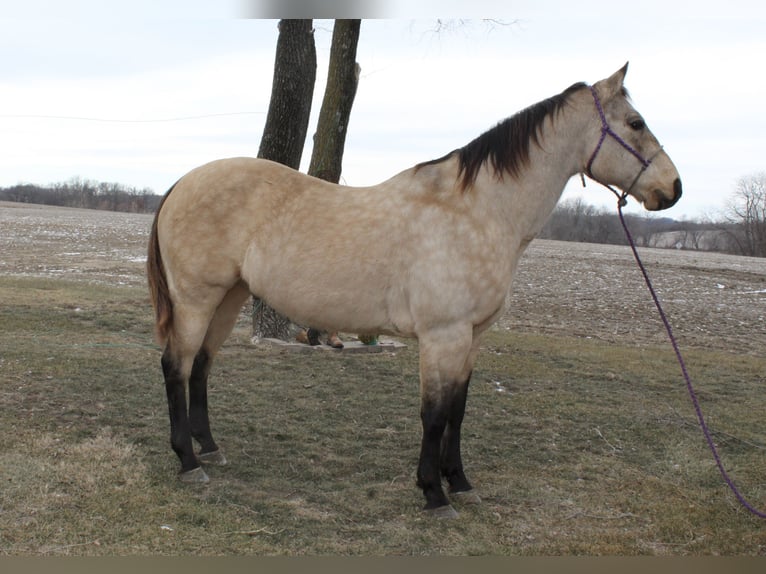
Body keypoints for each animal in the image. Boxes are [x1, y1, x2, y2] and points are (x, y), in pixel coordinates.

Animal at [148, 65, 684, 520]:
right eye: (635, 123)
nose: (674, 188)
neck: (478, 211)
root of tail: (180, 184)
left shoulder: (472, 337)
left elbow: (458, 411)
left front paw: (460, 482)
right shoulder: (443, 335)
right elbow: (434, 413)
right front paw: (433, 493)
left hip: (229, 298)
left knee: (201, 366)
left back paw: (210, 450)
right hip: (197, 300)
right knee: (177, 367)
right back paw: (188, 463)